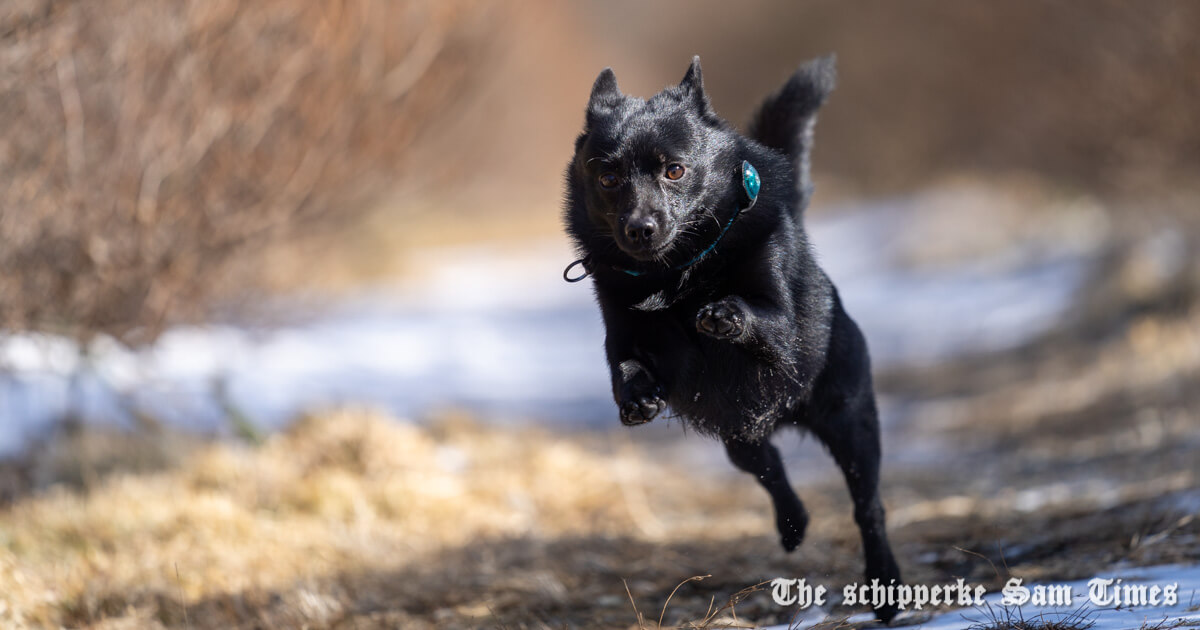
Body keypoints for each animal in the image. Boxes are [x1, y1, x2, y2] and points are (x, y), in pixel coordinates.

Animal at [561, 56, 902, 619]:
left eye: (674, 170)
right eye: (608, 177)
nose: (640, 228)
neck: (674, 275)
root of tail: (785, 415)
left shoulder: (782, 325)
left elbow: (758, 315)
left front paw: (722, 313)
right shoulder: (624, 338)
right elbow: (626, 367)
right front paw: (637, 400)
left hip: (850, 422)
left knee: (868, 506)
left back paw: (886, 584)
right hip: (740, 437)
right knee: (771, 470)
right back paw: (793, 524)